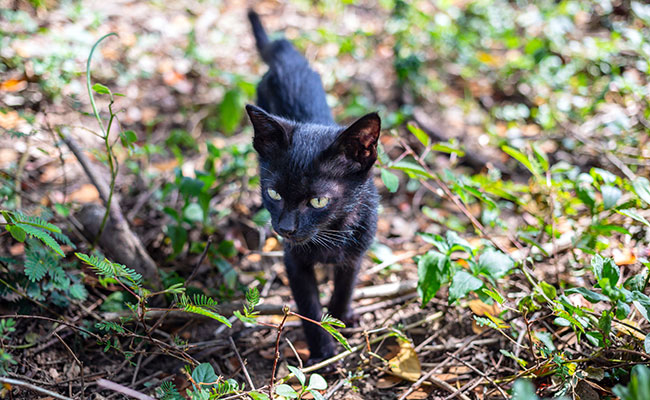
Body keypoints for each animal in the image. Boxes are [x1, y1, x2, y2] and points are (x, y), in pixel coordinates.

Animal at [247, 10, 380, 362]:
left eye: (318, 201)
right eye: (274, 193)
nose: (285, 229)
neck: (329, 235)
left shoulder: (355, 254)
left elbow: (344, 289)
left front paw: (340, 318)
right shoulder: (294, 262)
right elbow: (308, 307)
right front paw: (323, 352)